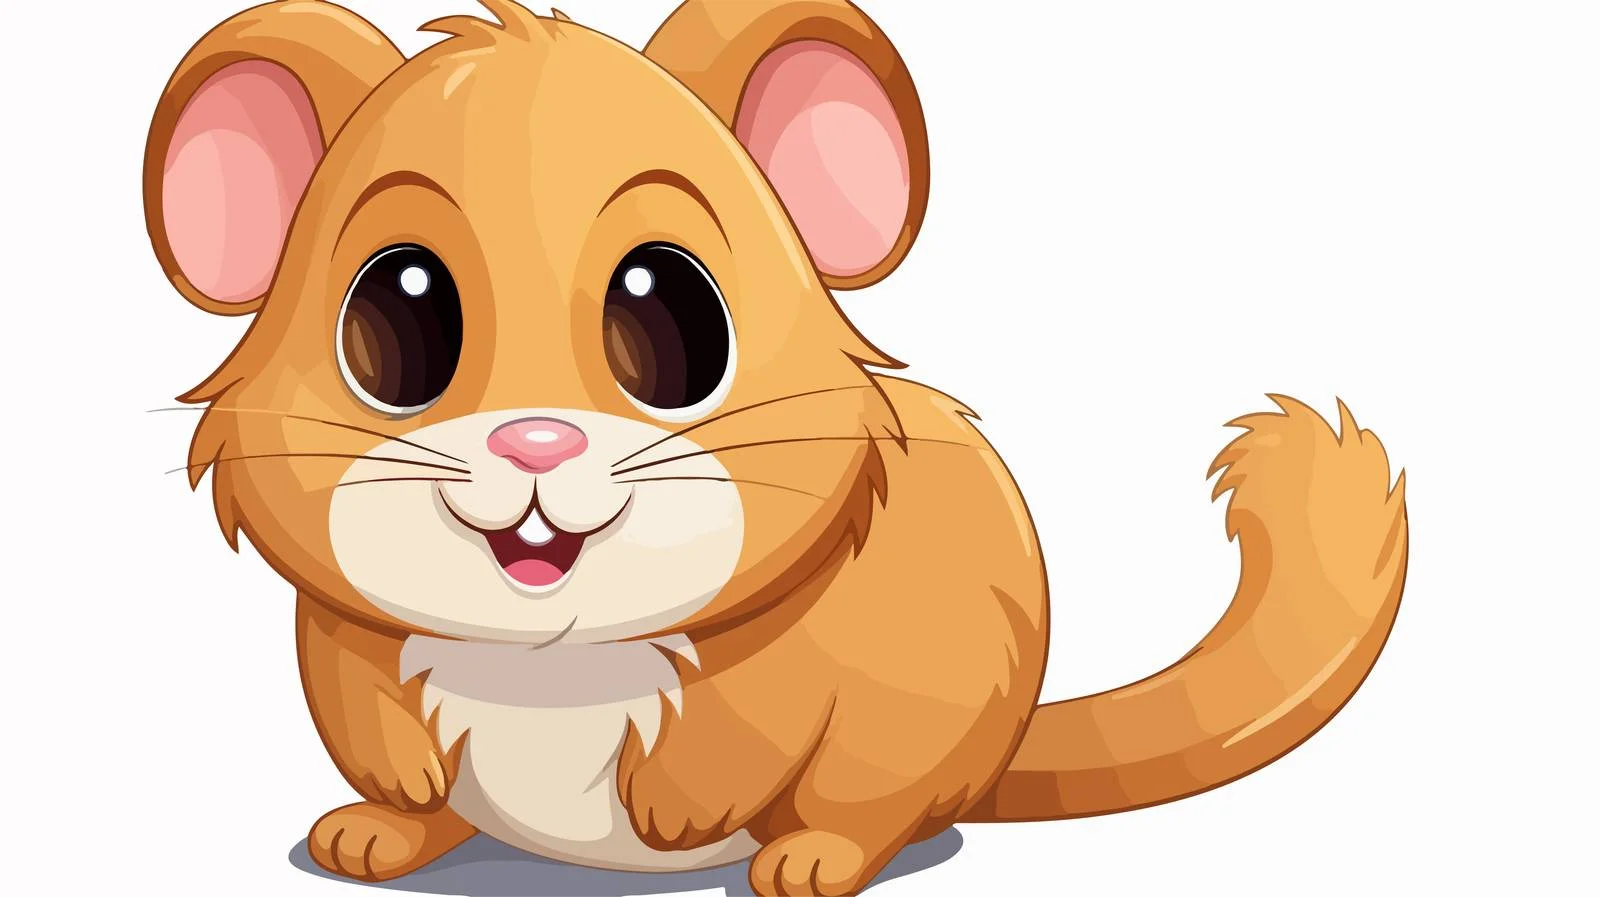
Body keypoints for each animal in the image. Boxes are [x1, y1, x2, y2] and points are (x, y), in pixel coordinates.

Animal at [142, 1, 1409, 894]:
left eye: (672, 317)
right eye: (396, 324)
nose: (536, 441)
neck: (550, 657)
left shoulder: (807, 654)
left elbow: (761, 712)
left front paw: (683, 806)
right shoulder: (343, 638)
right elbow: (364, 696)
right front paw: (397, 781)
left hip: (924, 733)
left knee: (866, 809)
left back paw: (811, 861)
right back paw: (379, 834)